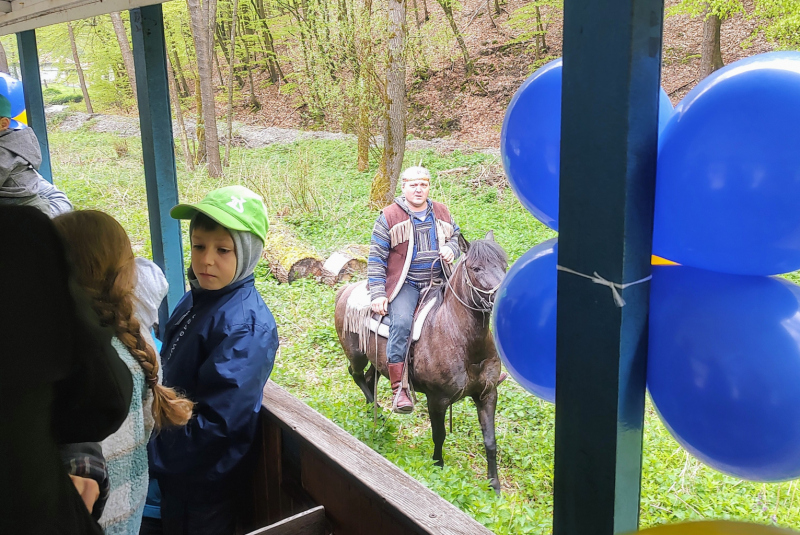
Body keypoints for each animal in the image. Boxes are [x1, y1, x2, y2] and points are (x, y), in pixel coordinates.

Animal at [334, 232, 510, 492]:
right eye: (476, 268)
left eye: (503, 265)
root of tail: (346, 289)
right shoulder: (437, 399)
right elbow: (439, 435)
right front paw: (438, 466)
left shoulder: (487, 394)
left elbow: (490, 440)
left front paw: (494, 486)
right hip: (356, 354)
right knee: (355, 374)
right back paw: (380, 414)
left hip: (379, 361)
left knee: (368, 378)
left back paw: (374, 412)